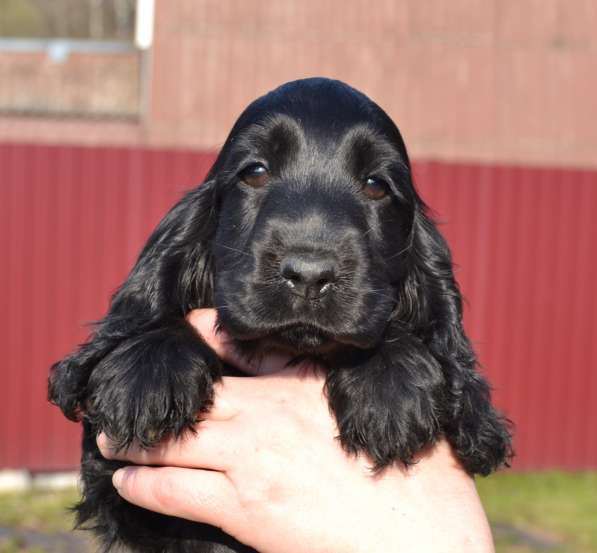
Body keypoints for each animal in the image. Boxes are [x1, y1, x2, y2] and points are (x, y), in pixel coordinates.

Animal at [49, 78, 510, 552]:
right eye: (255, 171)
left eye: (376, 185)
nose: (309, 274)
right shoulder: (118, 477)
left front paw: (391, 386)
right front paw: (147, 373)